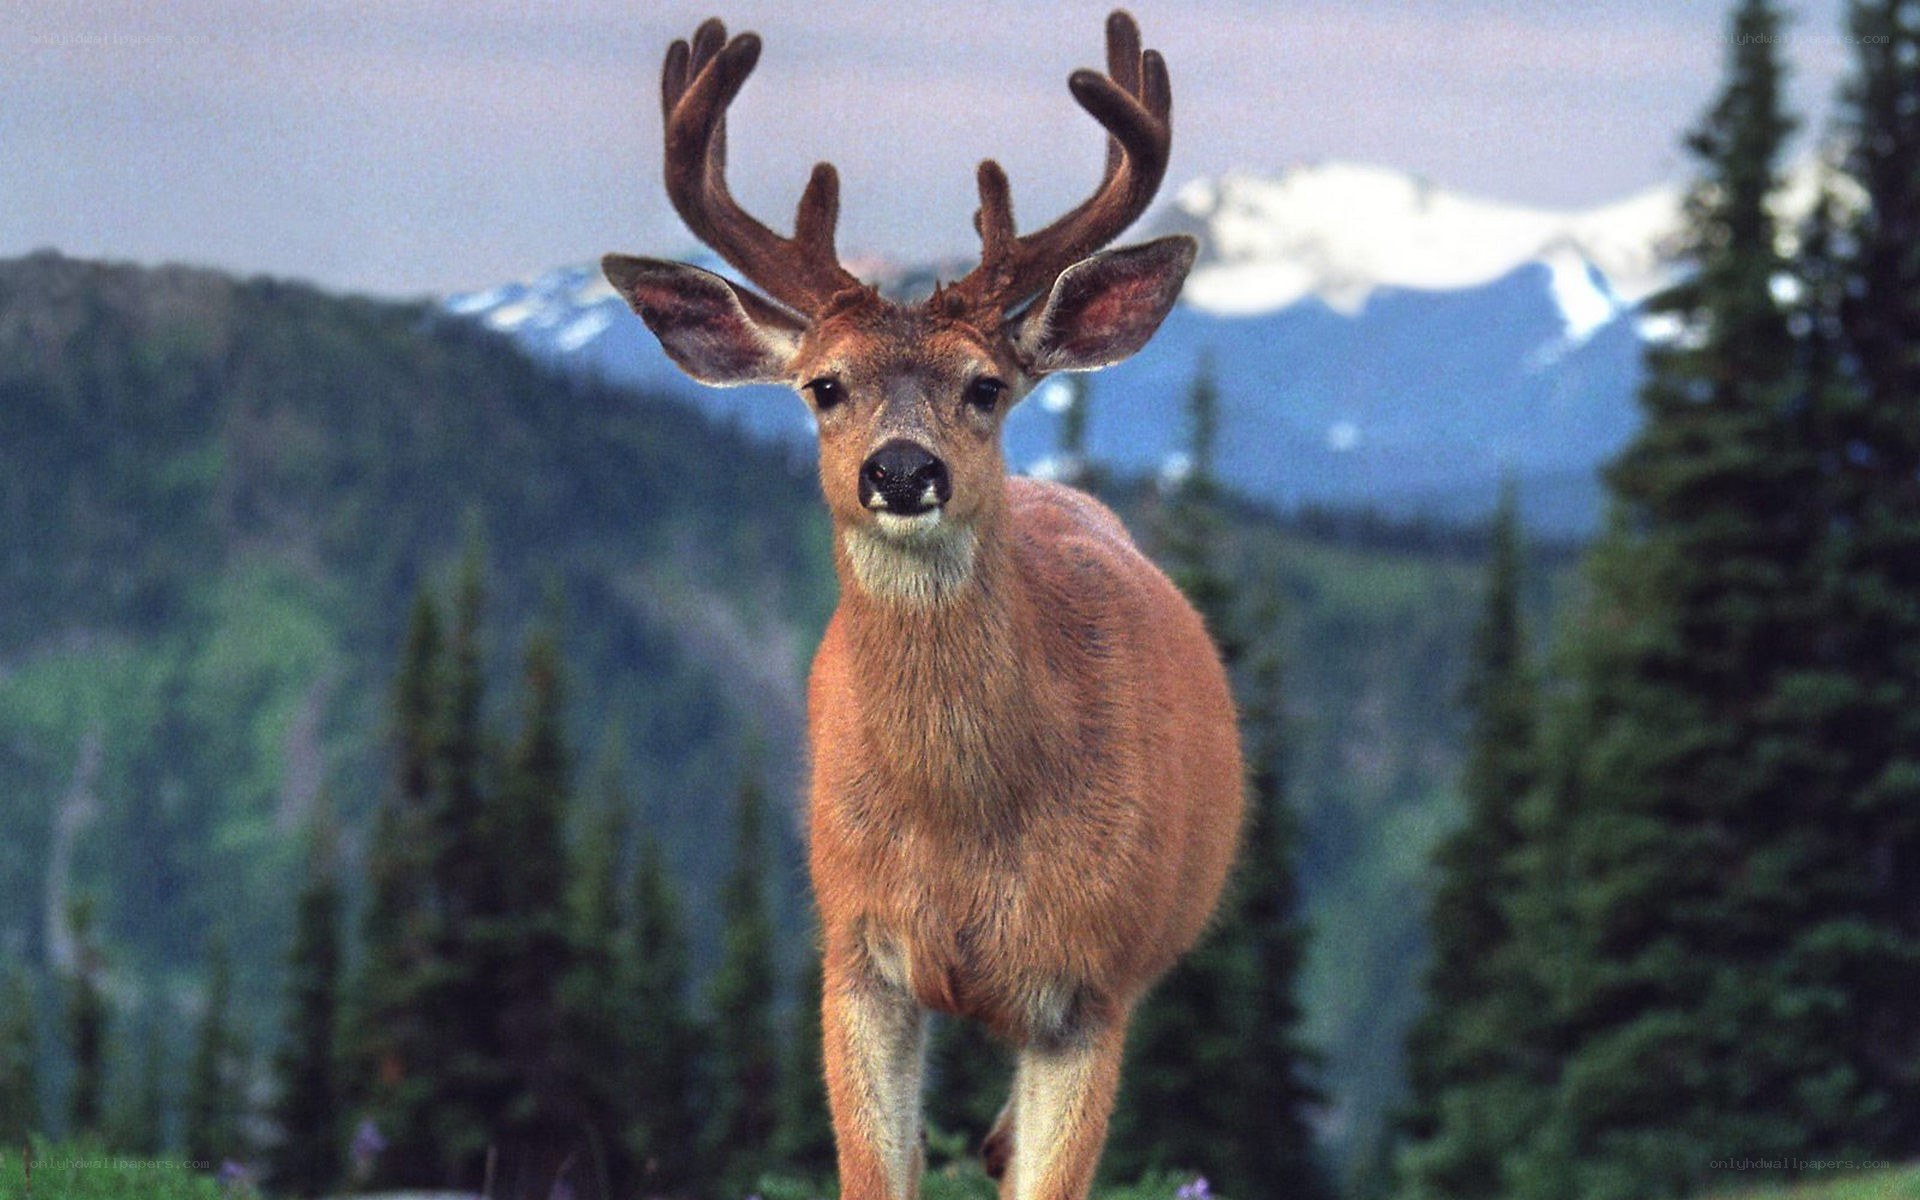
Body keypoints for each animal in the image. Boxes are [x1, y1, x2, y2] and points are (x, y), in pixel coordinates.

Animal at [600, 11, 1243, 1200]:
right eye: (824, 386)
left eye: (986, 387)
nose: (902, 470)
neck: (967, 827)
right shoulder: (858, 956)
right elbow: (875, 1172)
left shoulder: (1092, 989)